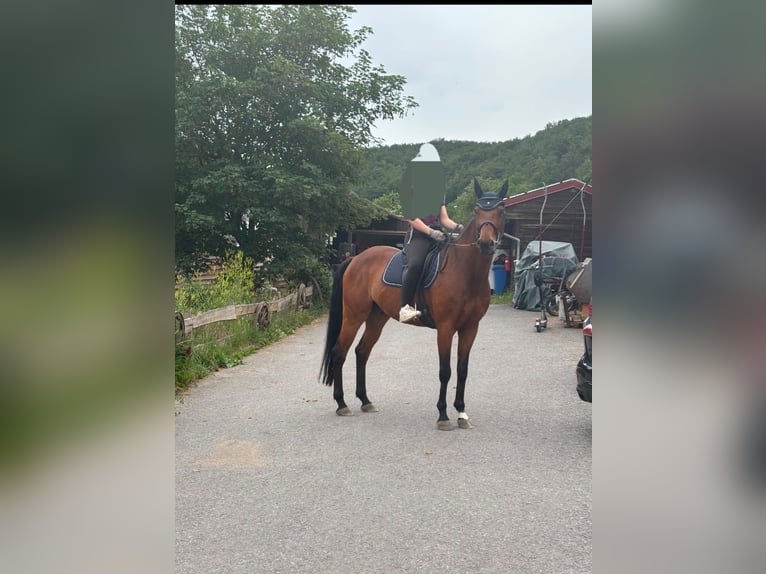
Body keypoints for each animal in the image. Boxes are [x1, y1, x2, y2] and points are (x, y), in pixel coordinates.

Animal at [319, 178, 508, 430]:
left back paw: (365, 400)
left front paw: (461, 413)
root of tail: (355, 258)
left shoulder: (470, 328)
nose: (486, 243)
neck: (465, 272)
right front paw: (443, 415)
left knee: (362, 352)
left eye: (501, 210)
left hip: (377, 318)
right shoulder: (446, 328)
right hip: (353, 317)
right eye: (478, 211)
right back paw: (342, 404)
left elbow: (462, 370)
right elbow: (445, 371)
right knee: (340, 352)